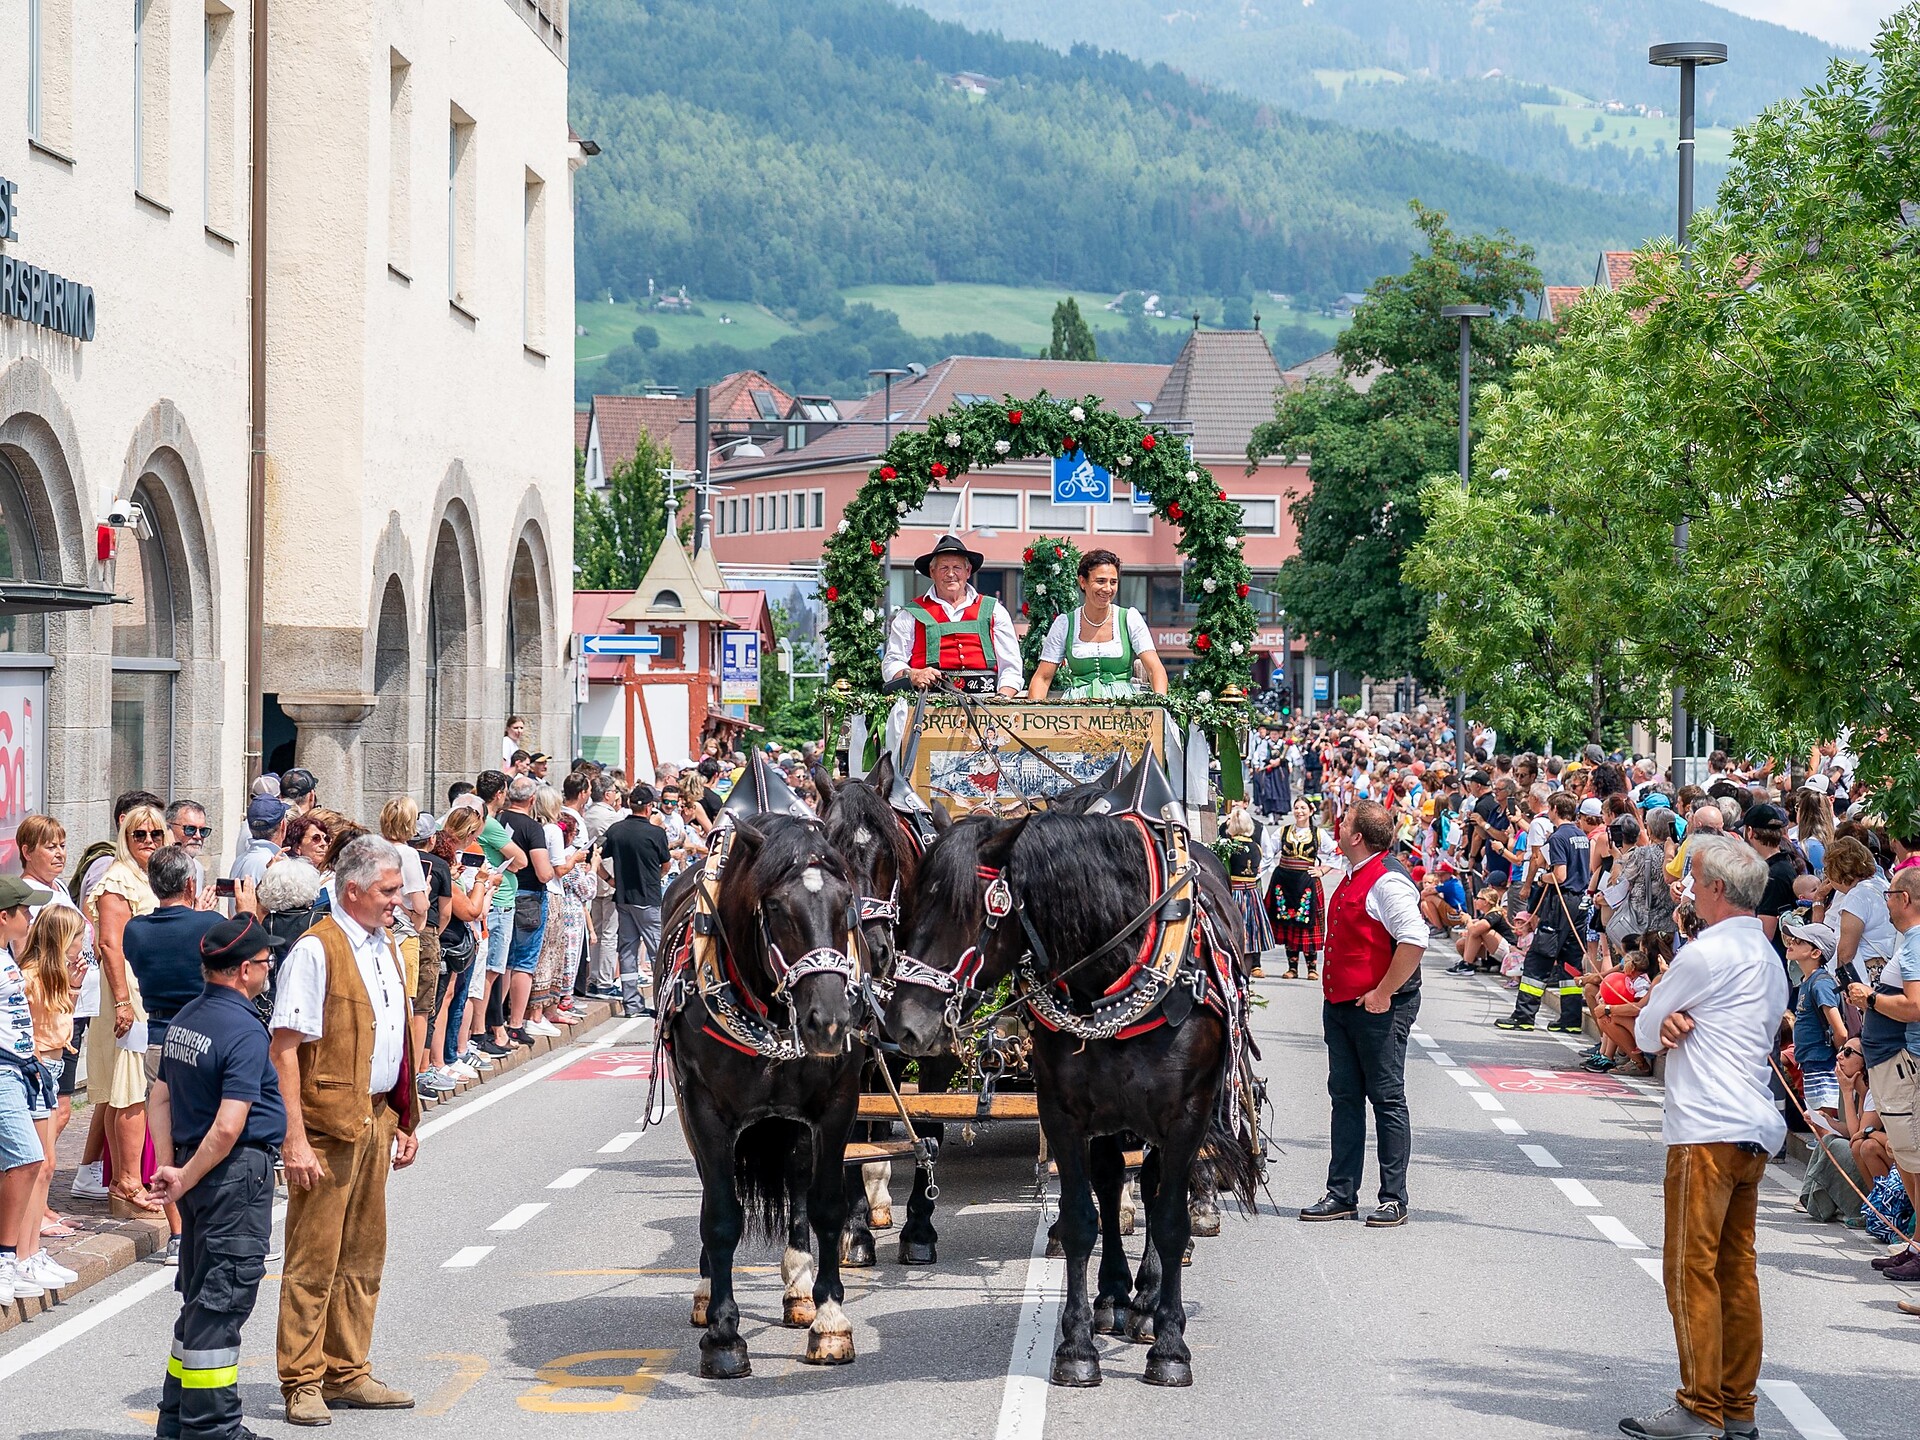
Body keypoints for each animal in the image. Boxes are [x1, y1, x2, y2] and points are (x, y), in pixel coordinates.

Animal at [660, 817, 871, 1382]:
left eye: (846, 901)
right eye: (775, 907)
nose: (830, 1022)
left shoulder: (837, 1104)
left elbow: (825, 1205)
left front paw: (830, 1321)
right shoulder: (705, 1109)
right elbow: (720, 1215)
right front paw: (723, 1335)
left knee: (796, 1180)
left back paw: (798, 1287)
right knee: (711, 1191)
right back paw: (706, 1291)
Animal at [887, 794, 1259, 1390]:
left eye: (967, 910)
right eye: (911, 903)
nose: (904, 1025)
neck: (1111, 972)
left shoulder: (1186, 1115)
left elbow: (1170, 1219)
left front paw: (1170, 1345)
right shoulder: (1063, 1112)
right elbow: (1084, 1218)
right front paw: (1078, 1343)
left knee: (1152, 1187)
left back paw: (1147, 1302)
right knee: (1111, 1184)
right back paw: (1114, 1298)